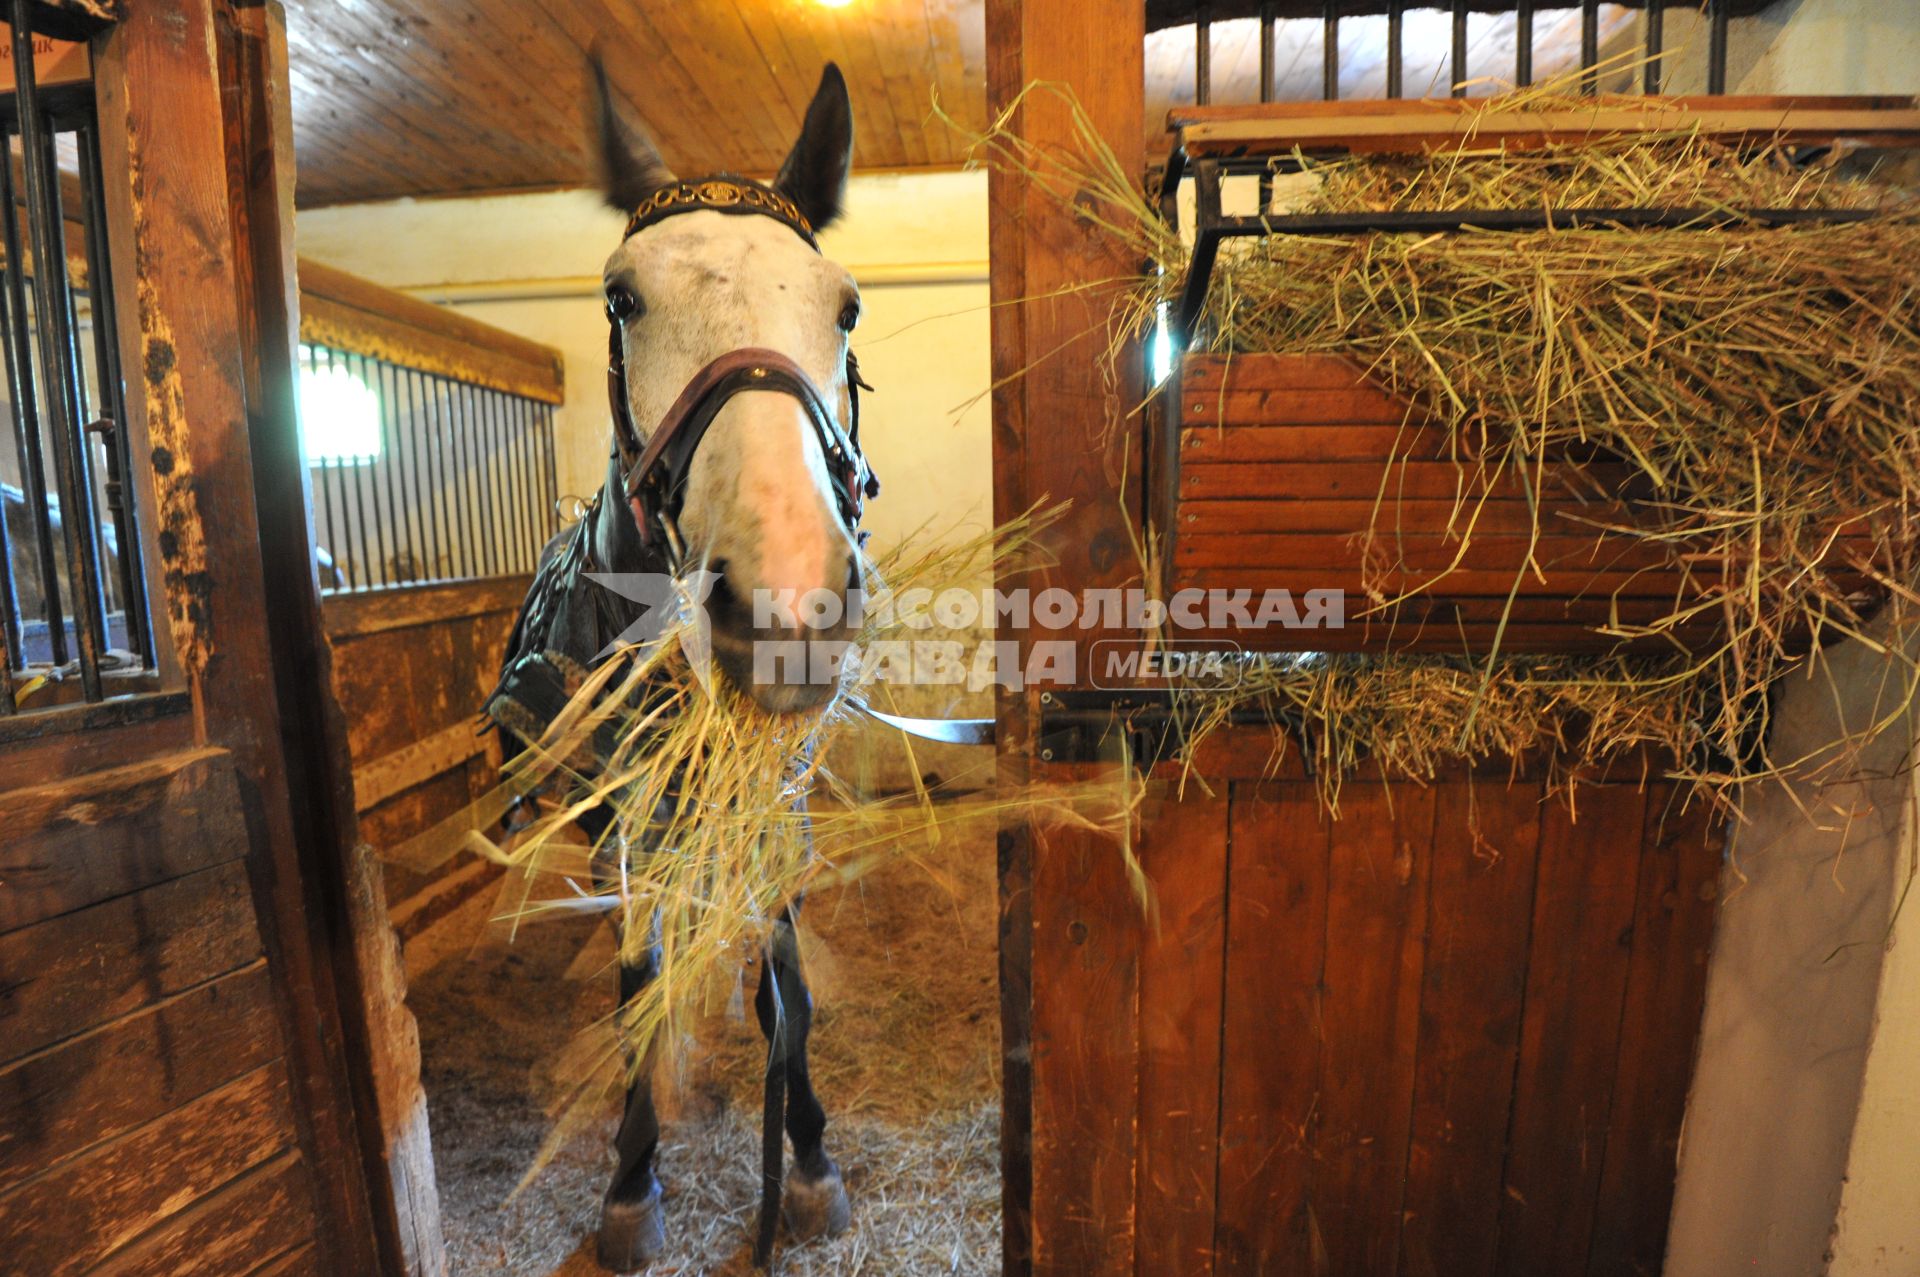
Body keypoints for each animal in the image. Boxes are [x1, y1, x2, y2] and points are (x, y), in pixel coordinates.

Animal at [483, 57, 875, 1267]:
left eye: (845, 303)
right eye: (622, 297)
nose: (789, 600)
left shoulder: (773, 798)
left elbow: (786, 979)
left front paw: (807, 1157)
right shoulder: (629, 820)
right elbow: (638, 986)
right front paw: (630, 1179)